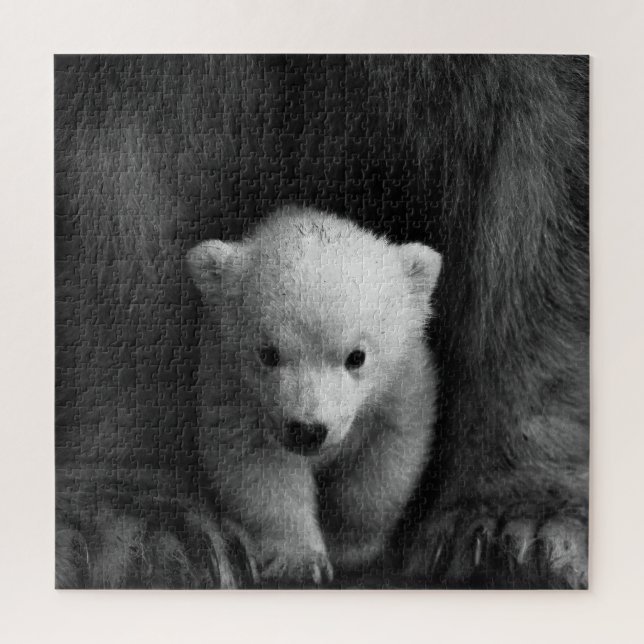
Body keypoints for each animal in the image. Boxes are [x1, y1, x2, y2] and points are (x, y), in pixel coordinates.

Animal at [187, 207, 442, 584]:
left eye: (357, 356)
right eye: (268, 353)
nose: (307, 431)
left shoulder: (402, 387)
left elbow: (387, 461)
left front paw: (348, 543)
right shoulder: (234, 390)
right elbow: (260, 469)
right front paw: (301, 560)